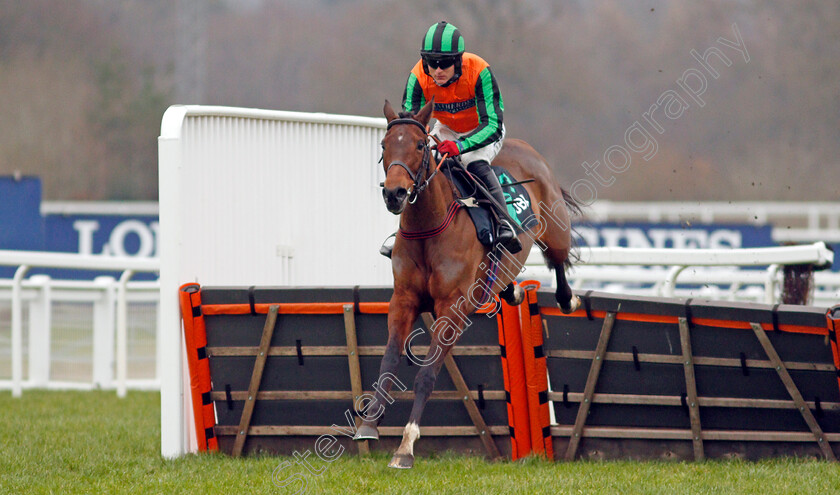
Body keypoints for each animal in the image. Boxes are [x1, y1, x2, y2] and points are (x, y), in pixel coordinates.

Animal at [352, 99, 580, 466]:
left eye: (420, 145)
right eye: (384, 146)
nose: (395, 194)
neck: (428, 227)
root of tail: (527, 148)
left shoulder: (452, 308)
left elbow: (426, 374)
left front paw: (406, 446)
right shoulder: (403, 300)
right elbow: (389, 359)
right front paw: (369, 423)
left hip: (556, 231)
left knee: (559, 263)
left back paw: (567, 298)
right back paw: (512, 290)